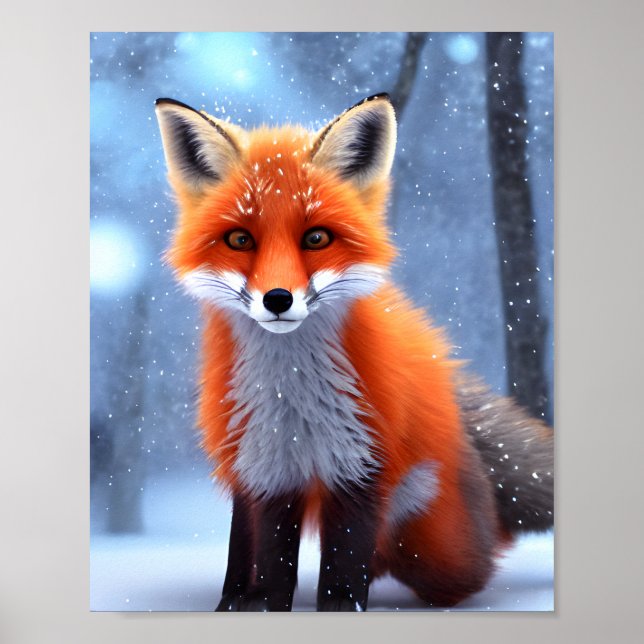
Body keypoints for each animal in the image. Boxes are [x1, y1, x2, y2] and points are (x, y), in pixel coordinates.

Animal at [155, 93, 554, 611]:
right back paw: (234, 598)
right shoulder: (268, 468)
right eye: (240, 239)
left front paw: (341, 606)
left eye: (316, 238)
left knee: (457, 558)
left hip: (437, 546)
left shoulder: (360, 460)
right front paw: (263, 602)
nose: (278, 299)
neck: (292, 399)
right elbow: (270, 557)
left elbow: (344, 564)